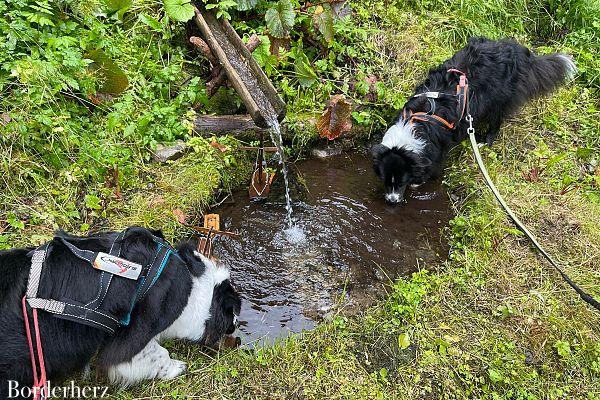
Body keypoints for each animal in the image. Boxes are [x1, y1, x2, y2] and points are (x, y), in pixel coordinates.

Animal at [2, 227, 241, 396]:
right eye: (232, 316)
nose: (236, 328)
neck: (194, 286)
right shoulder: (128, 341)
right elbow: (158, 354)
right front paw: (176, 368)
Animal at [370, 36, 576, 203]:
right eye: (386, 181)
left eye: (401, 182)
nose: (391, 201)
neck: (413, 123)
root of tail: (518, 51)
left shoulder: (437, 151)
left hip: (498, 100)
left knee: (496, 121)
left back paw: (485, 142)